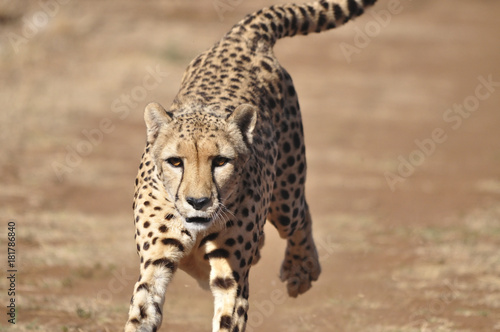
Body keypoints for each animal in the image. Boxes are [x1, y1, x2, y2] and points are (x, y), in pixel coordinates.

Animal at [124, 1, 376, 330]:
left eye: (220, 161)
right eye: (175, 162)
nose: (198, 202)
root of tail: (239, 37)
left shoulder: (232, 277)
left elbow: (227, 316)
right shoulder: (154, 264)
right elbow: (142, 312)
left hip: (285, 194)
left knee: (300, 215)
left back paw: (301, 270)